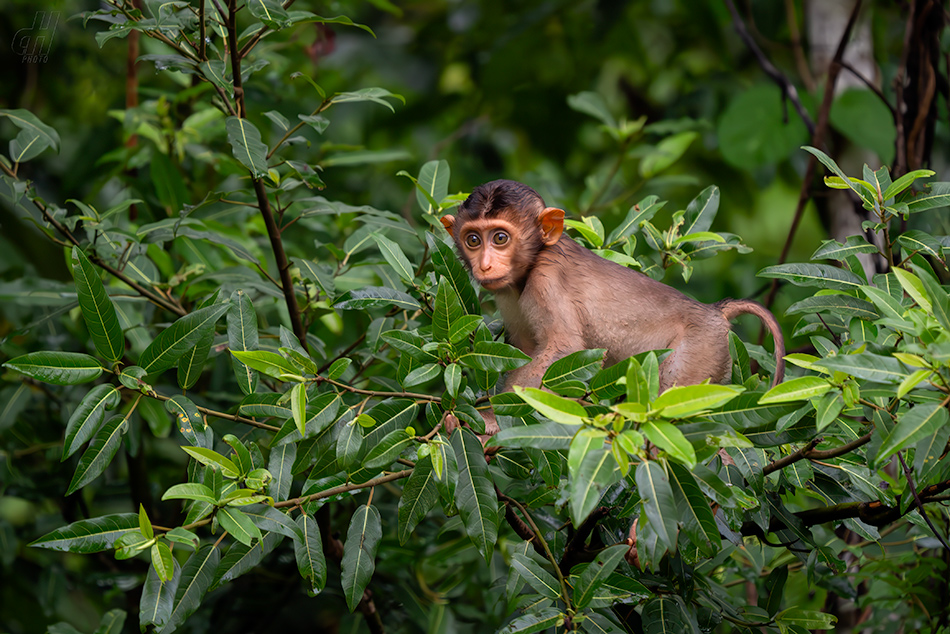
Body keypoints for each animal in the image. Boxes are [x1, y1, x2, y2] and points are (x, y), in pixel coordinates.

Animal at [442, 178, 784, 404]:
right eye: (473, 240)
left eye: (500, 238)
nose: (485, 265)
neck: (534, 260)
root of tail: (714, 310)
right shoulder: (507, 293)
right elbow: (524, 351)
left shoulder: (546, 281)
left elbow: (563, 348)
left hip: (702, 349)